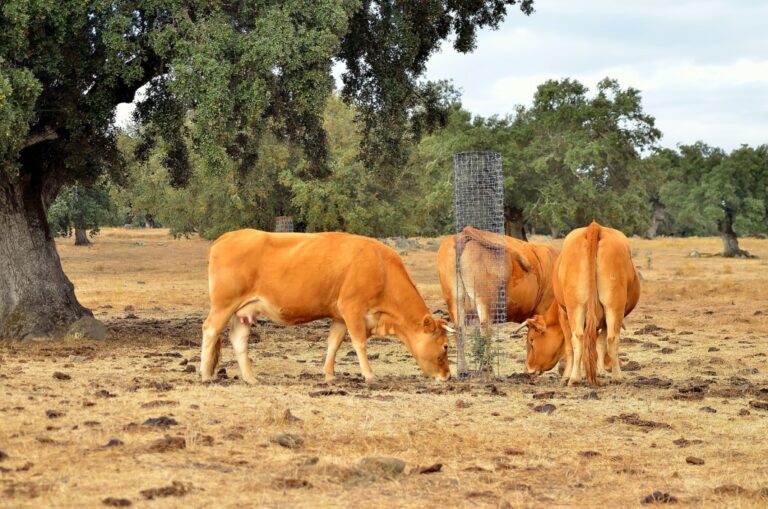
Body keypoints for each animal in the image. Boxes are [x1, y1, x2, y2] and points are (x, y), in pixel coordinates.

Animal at [201, 228, 452, 382]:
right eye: (446, 346)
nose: (447, 376)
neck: (381, 268)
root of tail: (227, 237)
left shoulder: (340, 316)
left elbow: (333, 343)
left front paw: (329, 374)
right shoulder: (352, 308)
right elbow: (359, 343)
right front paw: (369, 375)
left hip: (242, 311)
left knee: (238, 340)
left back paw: (251, 378)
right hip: (224, 305)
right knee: (210, 329)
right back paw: (205, 374)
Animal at [520, 222, 640, 384]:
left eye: (531, 340)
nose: (528, 369)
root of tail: (594, 227)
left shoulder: (563, 314)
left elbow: (570, 346)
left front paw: (567, 375)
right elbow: (599, 344)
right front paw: (599, 372)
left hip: (575, 308)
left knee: (577, 338)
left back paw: (574, 379)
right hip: (613, 307)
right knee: (611, 339)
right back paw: (617, 377)